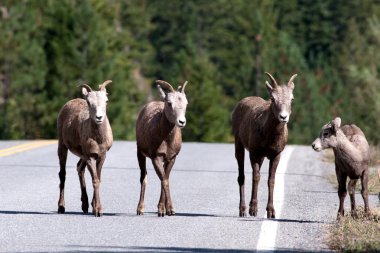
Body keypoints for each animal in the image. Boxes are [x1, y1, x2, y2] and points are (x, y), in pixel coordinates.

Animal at [56, 80, 113, 217]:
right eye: (89, 102)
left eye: (106, 100)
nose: (99, 117)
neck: (98, 139)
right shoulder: (90, 156)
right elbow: (95, 180)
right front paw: (98, 210)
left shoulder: (101, 156)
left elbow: (98, 178)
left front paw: (94, 207)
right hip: (63, 146)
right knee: (62, 174)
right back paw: (61, 207)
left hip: (82, 156)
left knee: (79, 169)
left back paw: (85, 206)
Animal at [137, 80, 189, 216]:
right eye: (169, 103)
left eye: (186, 103)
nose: (181, 122)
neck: (166, 139)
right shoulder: (156, 157)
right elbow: (164, 180)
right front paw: (168, 210)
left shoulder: (171, 158)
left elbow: (165, 178)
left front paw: (164, 209)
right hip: (140, 154)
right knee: (143, 177)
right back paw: (140, 209)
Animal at [232, 72, 296, 217]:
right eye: (272, 98)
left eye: (292, 99)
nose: (283, 117)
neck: (269, 137)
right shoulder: (254, 152)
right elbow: (256, 177)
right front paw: (253, 210)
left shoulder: (276, 155)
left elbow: (271, 180)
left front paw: (271, 212)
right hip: (239, 144)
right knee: (241, 176)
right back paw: (243, 210)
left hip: (260, 157)